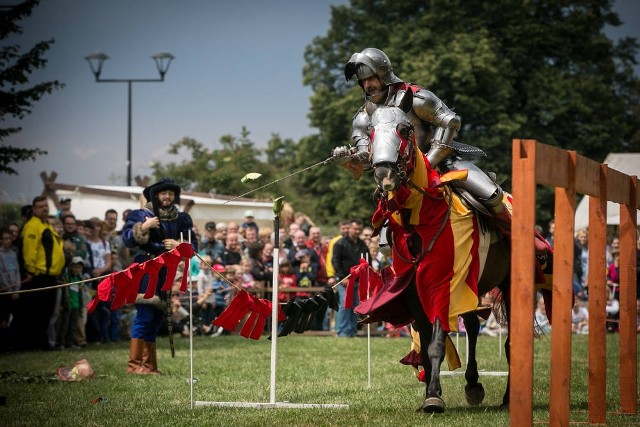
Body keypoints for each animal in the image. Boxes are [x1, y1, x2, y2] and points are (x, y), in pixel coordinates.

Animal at [356, 91, 516, 414]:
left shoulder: (443, 286)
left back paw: (508, 397)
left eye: (405, 129)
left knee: (509, 342)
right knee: (472, 324)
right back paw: (473, 385)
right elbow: (426, 336)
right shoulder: (415, 293)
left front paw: (433, 397)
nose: (384, 173)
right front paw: (431, 393)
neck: (422, 219)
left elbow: (436, 343)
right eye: (371, 131)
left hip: (508, 283)